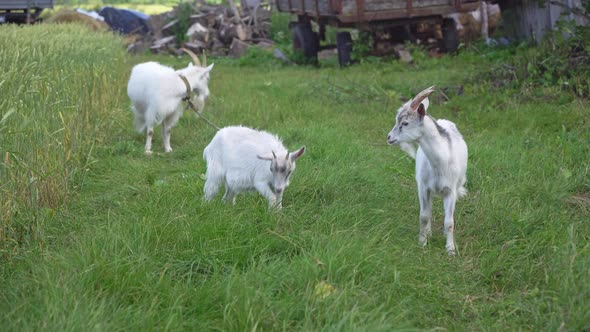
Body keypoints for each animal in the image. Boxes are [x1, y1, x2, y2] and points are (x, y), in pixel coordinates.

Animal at [386, 86, 470, 256]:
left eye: (405, 123)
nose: (389, 137)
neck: (439, 163)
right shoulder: (423, 188)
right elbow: (424, 216)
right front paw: (422, 242)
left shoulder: (450, 190)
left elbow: (449, 222)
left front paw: (450, 249)